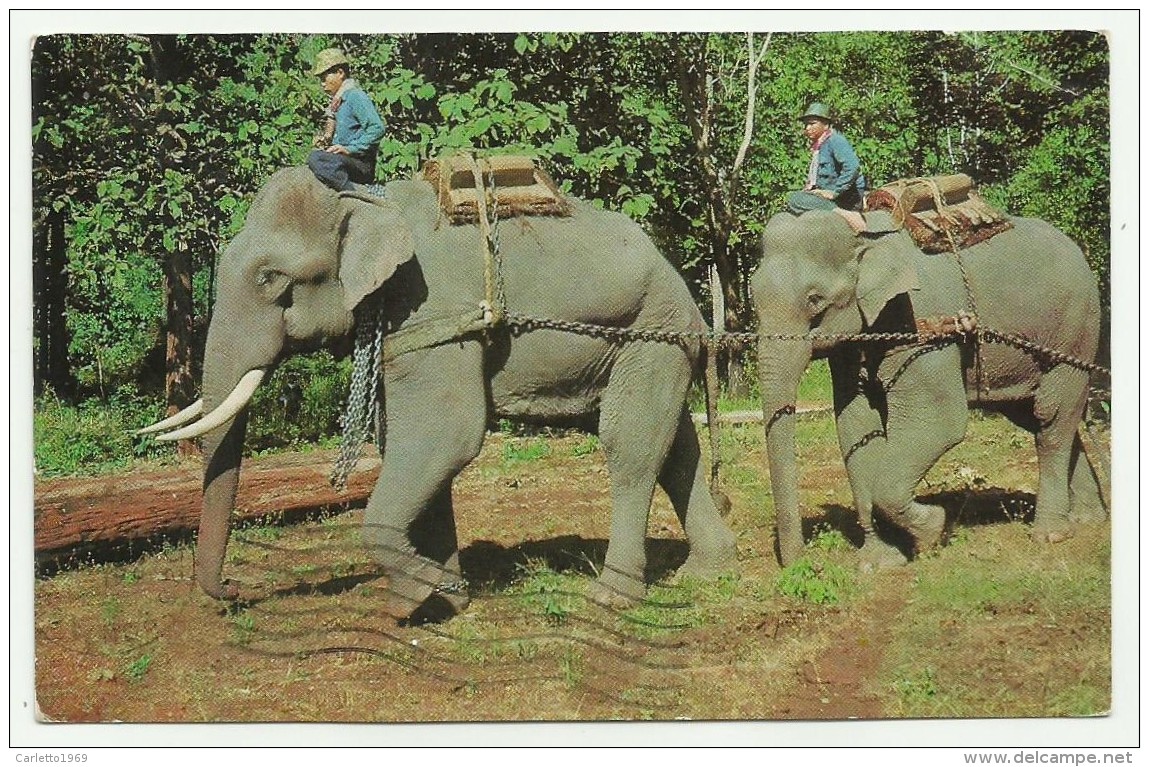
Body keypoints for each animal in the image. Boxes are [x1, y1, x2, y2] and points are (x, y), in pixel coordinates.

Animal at [141, 165, 735, 620]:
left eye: (270, 279)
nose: (235, 592)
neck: (370, 203)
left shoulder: (433, 315)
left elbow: (447, 437)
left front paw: (421, 597)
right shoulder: (404, 335)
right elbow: (414, 450)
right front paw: (444, 600)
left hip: (650, 332)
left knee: (629, 446)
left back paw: (610, 597)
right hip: (651, 340)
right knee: (676, 446)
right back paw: (706, 572)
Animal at [749, 207, 1107, 569]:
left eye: (815, 300)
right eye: (754, 297)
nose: (799, 563)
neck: (864, 233)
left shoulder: (923, 325)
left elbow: (939, 423)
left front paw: (934, 531)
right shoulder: (853, 345)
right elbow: (856, 425)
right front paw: (879, 563)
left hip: (1075, 330)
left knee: (1051, 414)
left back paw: (1050, 534)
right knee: (1038, 415)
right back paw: (1088, 519)